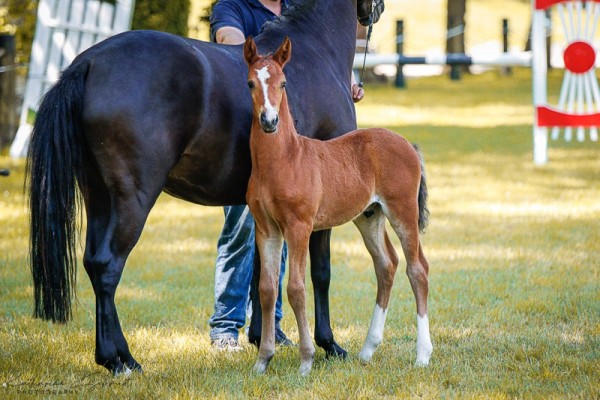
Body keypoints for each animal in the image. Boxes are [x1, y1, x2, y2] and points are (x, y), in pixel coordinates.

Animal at [245, 35, 436, 376]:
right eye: (251, 82)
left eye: (283, 83)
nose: (269, 121)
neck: (285, 159)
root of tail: (407, 144)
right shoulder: (266, 228)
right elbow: (267, 289)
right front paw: (263, 360)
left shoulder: (299, 227)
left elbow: (295, 289)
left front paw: (306, 360)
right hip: (369, 216)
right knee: (386, 265)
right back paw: (368, 349)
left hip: (403, 212)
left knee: (417, 269)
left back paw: (422, 355)